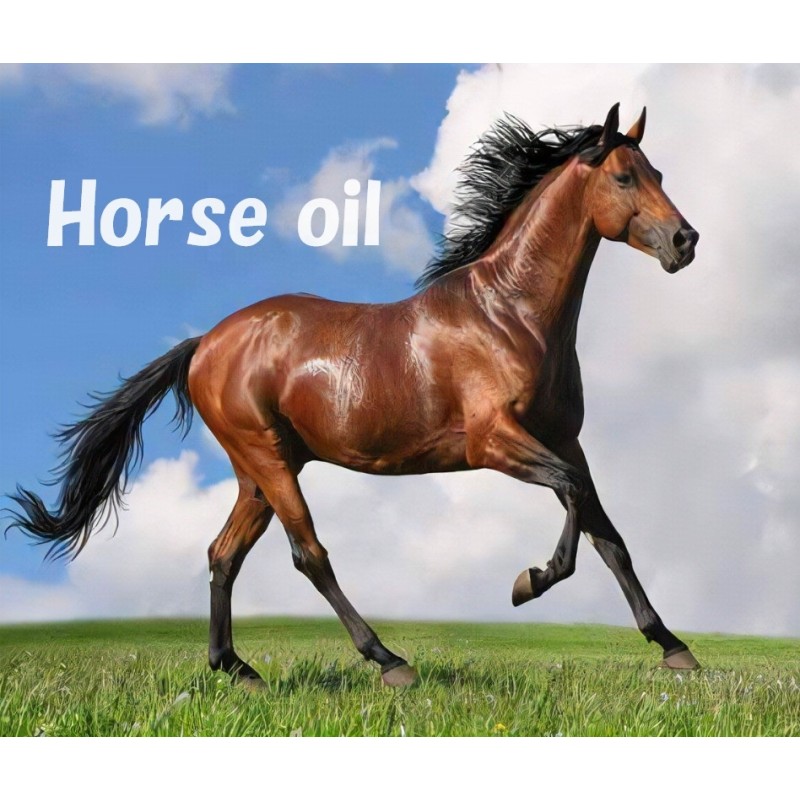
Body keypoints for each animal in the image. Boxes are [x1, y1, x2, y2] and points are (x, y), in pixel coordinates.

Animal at [8, 103, 700, 688]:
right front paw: (528, 582)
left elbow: (607, 534)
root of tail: (206, 343)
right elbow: (572, 499)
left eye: (658, 172)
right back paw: (389, 660)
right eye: (623, 177)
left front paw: (673, 647)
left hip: (258, 473)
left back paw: (236, 668)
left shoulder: (565, 439)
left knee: (223, 554)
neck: (511, 313)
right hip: (268, 461)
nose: (685, 241)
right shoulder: (495, 442)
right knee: (309, 555)